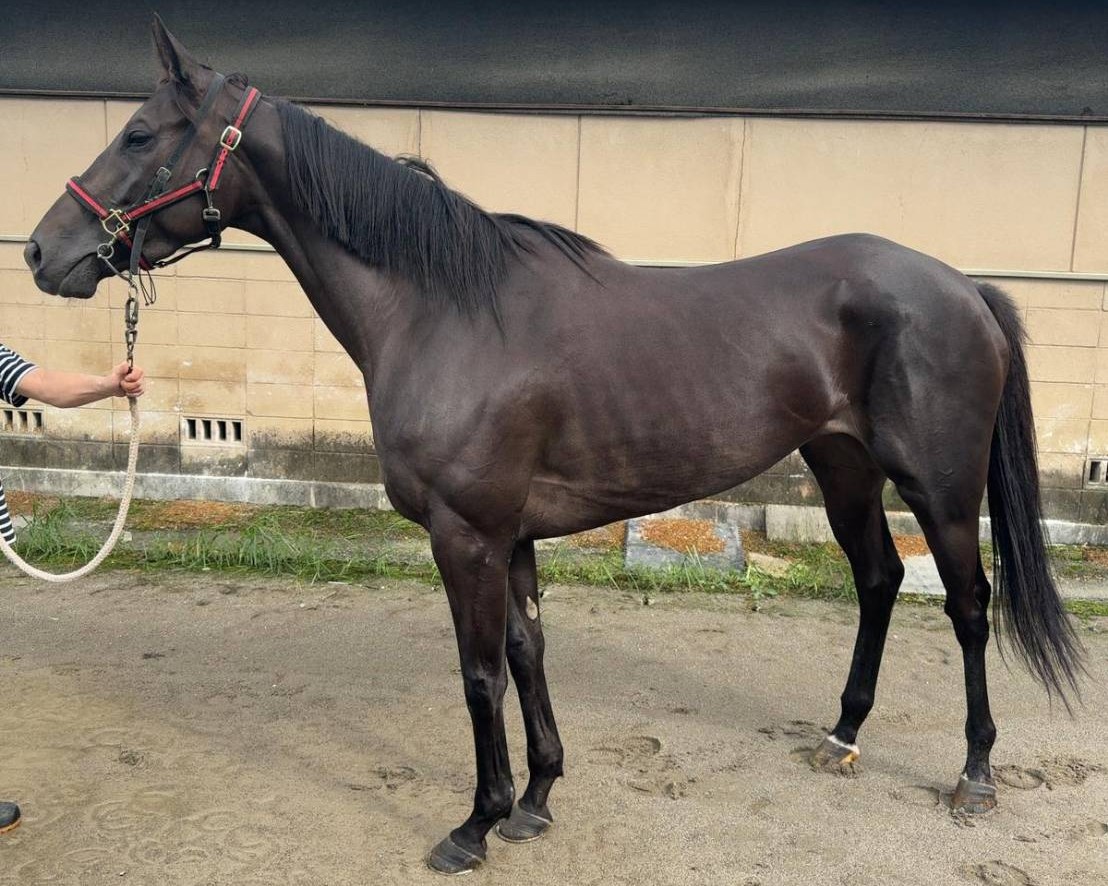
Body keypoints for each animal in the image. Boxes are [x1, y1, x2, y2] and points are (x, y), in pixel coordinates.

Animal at [24, 17, 1083, 875]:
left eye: (139, 134)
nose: (42, 251)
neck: (442, 310)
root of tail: (960, 284)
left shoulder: (466, 535)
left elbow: (480, 673)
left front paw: (476, 824)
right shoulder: (514, 534)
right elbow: (530, 653)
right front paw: (535, 800)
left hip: (939, 484)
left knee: (968, 604)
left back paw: (975, 775)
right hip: (842, 466)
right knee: (876, 581)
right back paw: (842, 734)